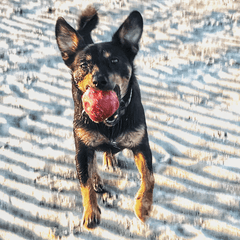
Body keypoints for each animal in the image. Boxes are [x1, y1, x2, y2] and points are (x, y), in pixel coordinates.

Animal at [55, 6, 155, 230]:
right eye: (84, 65)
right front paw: (91, 212)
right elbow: (84, 182)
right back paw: (97, 178)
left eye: (114, 60)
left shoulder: (141, 145)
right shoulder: (82, 149)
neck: (111, 123)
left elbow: (149, 177)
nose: (98, 81)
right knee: (91, 165)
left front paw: (143, 207)